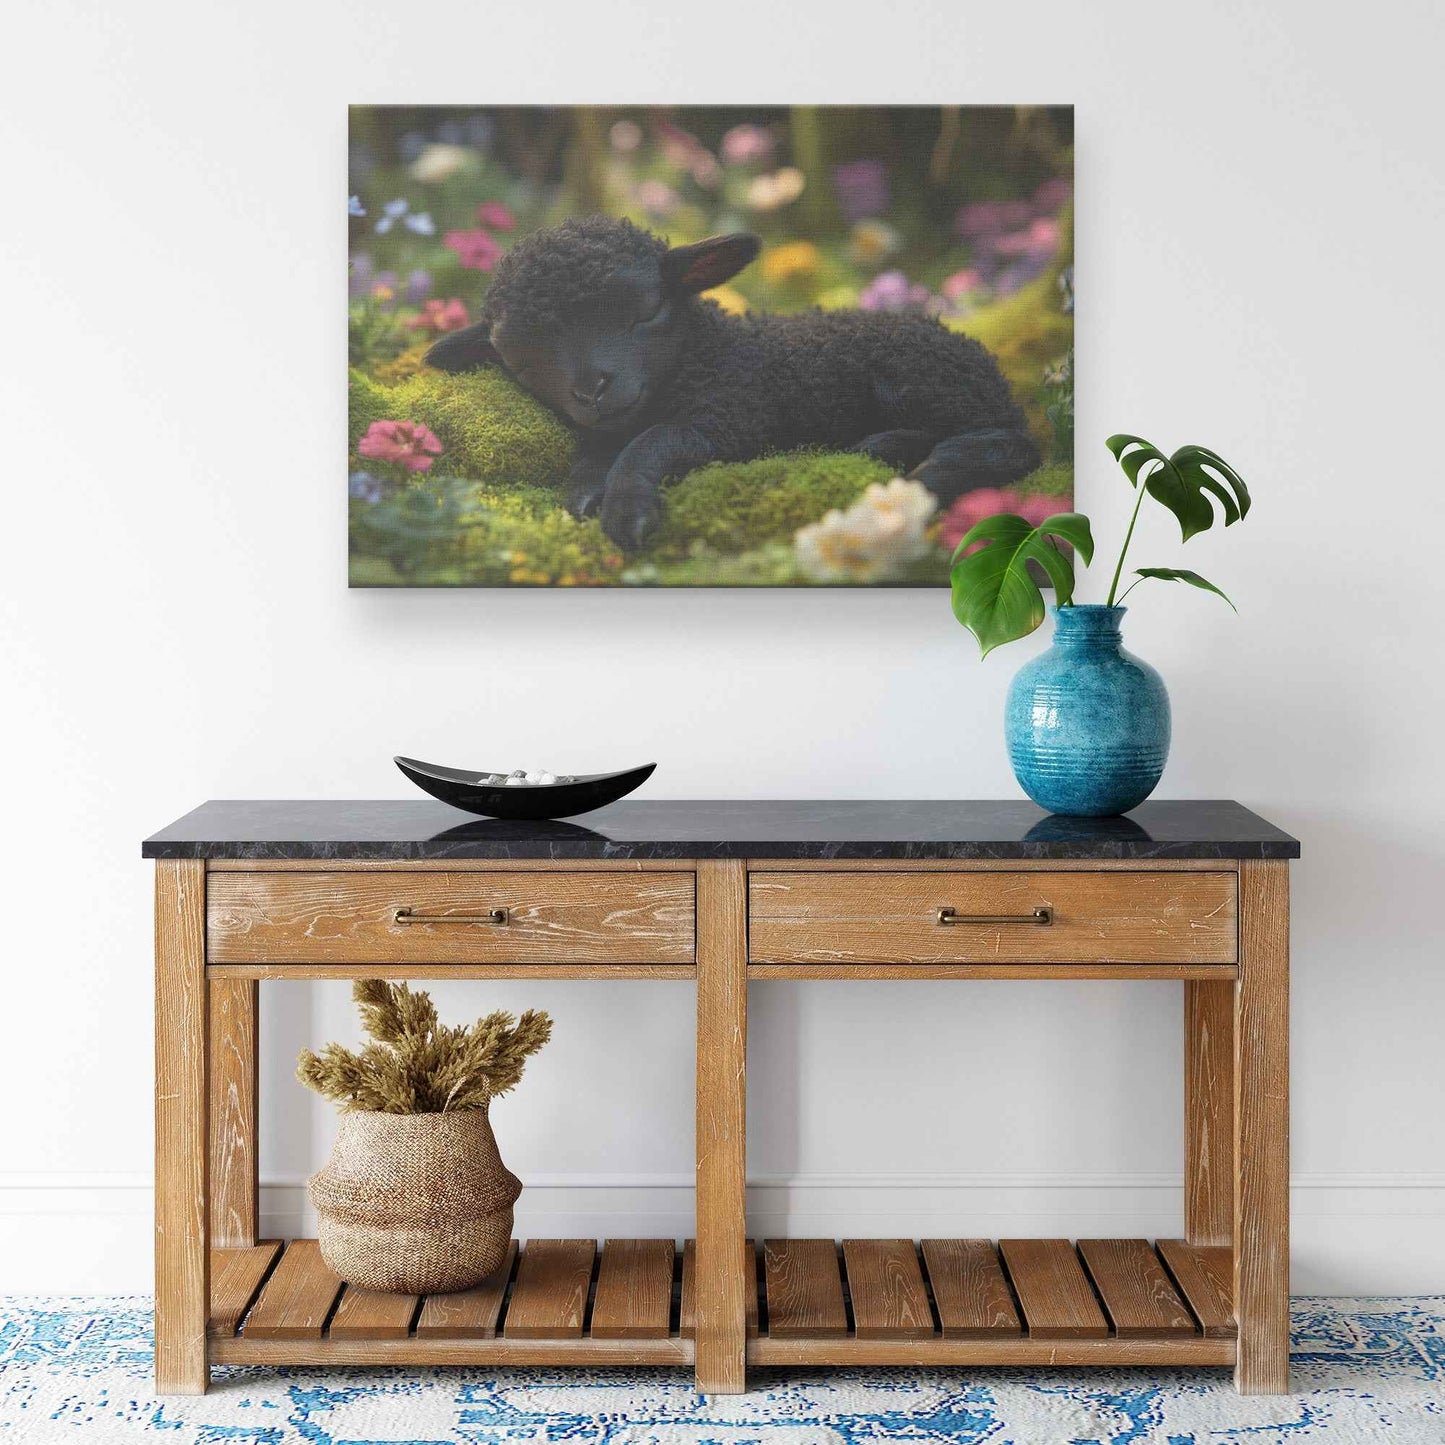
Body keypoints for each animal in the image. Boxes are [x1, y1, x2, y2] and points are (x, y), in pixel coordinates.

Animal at [426, 216, 1040, 552]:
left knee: (1009, 442)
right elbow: (601, 451)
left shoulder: (733, 415)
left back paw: (927, 469)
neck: (713, 351)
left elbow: (651, 442)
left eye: (648, 310)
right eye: (518, 354)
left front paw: (626, 511)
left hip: (921, 378)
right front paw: (585, 489)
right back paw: (883, 447)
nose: (592, 389)